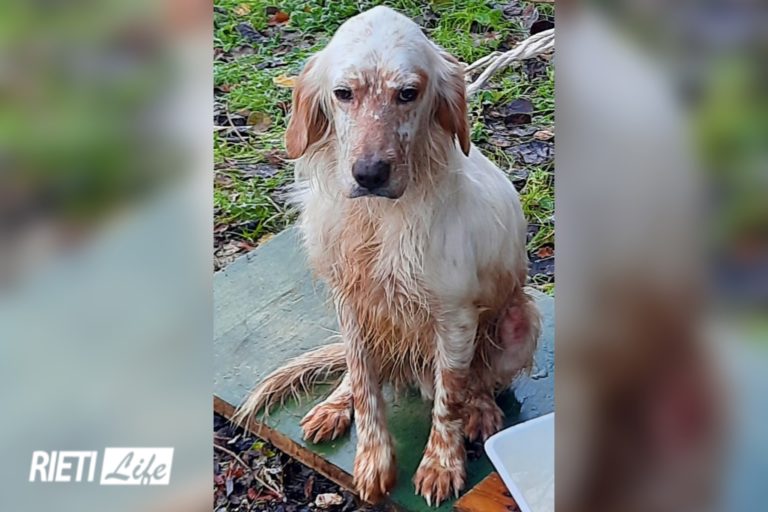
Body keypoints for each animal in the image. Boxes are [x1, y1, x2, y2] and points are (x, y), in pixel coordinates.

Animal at [236, 6, 540, 506]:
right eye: (343, 93)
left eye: (408, 93)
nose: (370, 173)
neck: (377, 219)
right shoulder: (349, 301)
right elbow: (364, 384)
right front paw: (372, 459)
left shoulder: (455, 317)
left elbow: (450, 396)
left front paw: (441, 464)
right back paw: (334, 405)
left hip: (519, 320)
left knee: (479, 381)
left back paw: (480, 411)